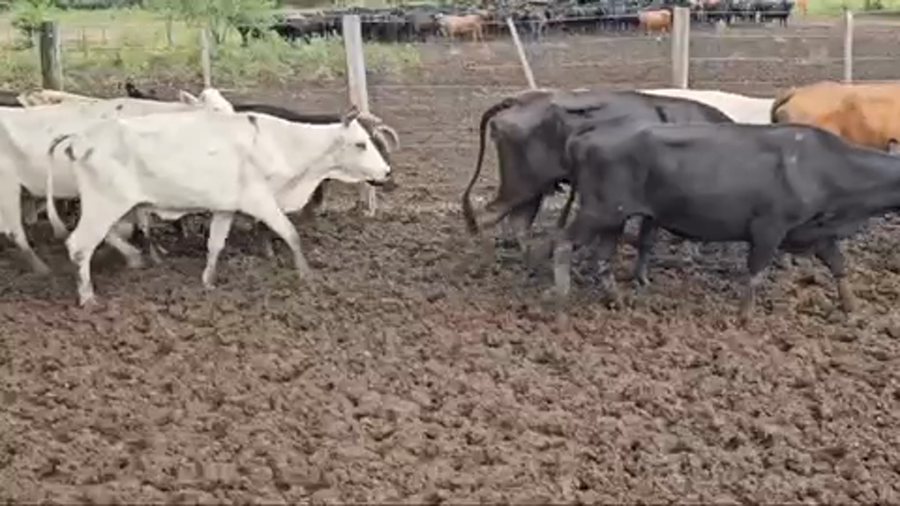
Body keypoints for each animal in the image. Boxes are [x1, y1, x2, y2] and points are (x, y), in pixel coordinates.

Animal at [0, 89, 233, 274]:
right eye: (215, 110)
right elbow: (130, 227)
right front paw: (139, 257)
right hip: (8, 189)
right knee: (14, 231)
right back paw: (41, 268)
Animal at [45, 106, 392, 306]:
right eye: (360, 143)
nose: (386, 172)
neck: (279, 143)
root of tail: (79, 138)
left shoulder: (227, 207)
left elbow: (215, 244)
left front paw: (208, 281)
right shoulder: (260, 200)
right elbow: (290, 233)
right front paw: (306, 276)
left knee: (106, 237)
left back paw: (133, 259)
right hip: (105, 205)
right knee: (79, 245)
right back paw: (88, 297)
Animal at [461, 88, 734, 272]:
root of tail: (517, 100)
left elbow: (647, 239)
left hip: (533, 189)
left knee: (519, 222)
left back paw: (528, 260)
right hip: (519, 183)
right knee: (487, 217)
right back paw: (487, 265)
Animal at [552, 121, 900, 324]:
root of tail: (586, 136)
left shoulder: (816, 231)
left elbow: (838, 265)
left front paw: (853, 309)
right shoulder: (769, 227)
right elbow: (755, 271)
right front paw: (744, 317)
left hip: (614, 217)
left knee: (601, 257)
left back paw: (616, 300)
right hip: (599, 210)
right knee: (562, 244)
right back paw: (562, 300)